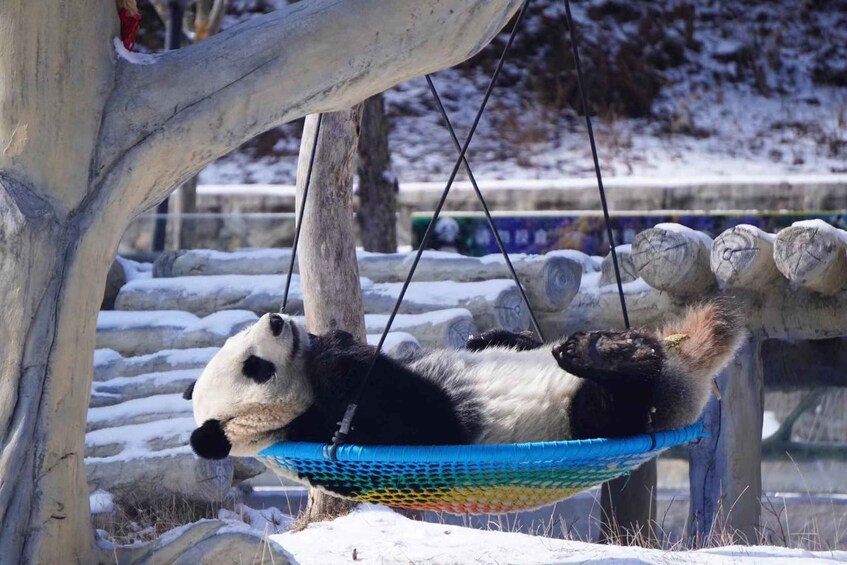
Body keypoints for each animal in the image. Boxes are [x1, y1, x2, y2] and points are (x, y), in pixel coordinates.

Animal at [184, 299, 745, 461]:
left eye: (242, 342)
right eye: (254, 367)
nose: (278, 320)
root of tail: (686, 376)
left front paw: (329, 337)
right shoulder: (348, 428)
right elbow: (420, 412)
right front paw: (331, 350)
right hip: (586, 416)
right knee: (616, 403)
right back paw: (613, 355)